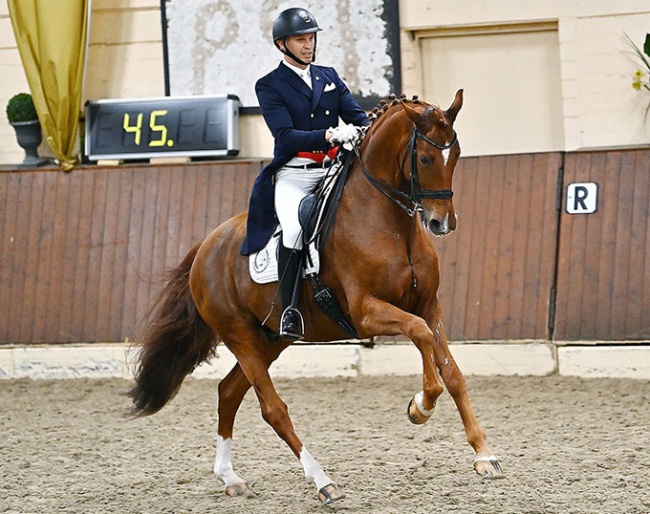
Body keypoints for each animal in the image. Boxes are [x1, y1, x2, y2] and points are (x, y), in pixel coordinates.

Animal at [126, 90, 502, 502]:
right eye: (424, 158)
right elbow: (419, 337)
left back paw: (230, 477)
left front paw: (484, 455)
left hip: (272, 338)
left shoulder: (429, 305)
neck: (389, 223)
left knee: (229, 392)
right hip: (239, 335)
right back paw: (323, 481)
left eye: (457, 153)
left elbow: (453, 373)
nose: (441, 223)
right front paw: (420, 407)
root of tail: (206, 246)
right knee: (272, 408)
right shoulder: (366, 312)